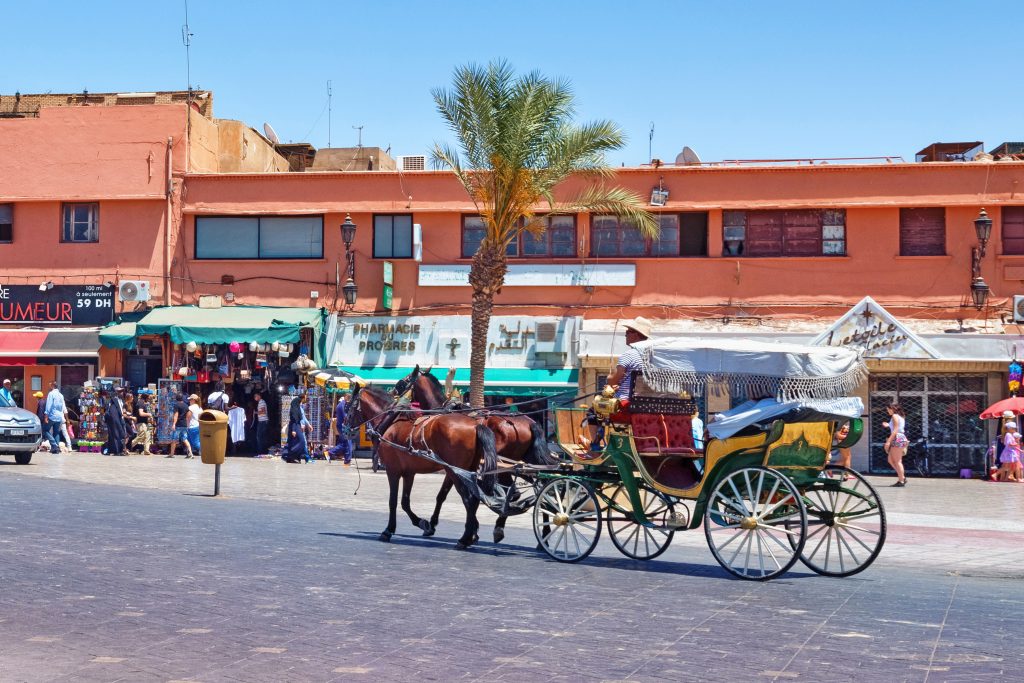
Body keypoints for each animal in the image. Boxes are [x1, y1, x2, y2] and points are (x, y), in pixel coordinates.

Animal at [348, 385, 499, 548]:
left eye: (348, 407)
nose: (345, 428)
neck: (391, 423)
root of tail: (476, 424)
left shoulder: (392, 470)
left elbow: (393, 501)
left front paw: (388, 530)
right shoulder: (408, 473)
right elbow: (405, 502)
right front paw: (423, 523)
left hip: (455, 471)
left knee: (468, 499)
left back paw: (465, 539)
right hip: (467, 470)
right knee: (474, 499)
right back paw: (471, 534)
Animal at [391, 366, 557, 540]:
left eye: (403, 381)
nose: (393, 392)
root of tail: (530, 422)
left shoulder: (452, 467)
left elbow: (445, 495)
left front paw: (436, 524)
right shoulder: (454, 467)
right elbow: (445, 495)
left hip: (504, 466)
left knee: (516, 493)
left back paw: (500, 527)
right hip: (527, 462)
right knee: (542, 486)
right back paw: (544, 530)